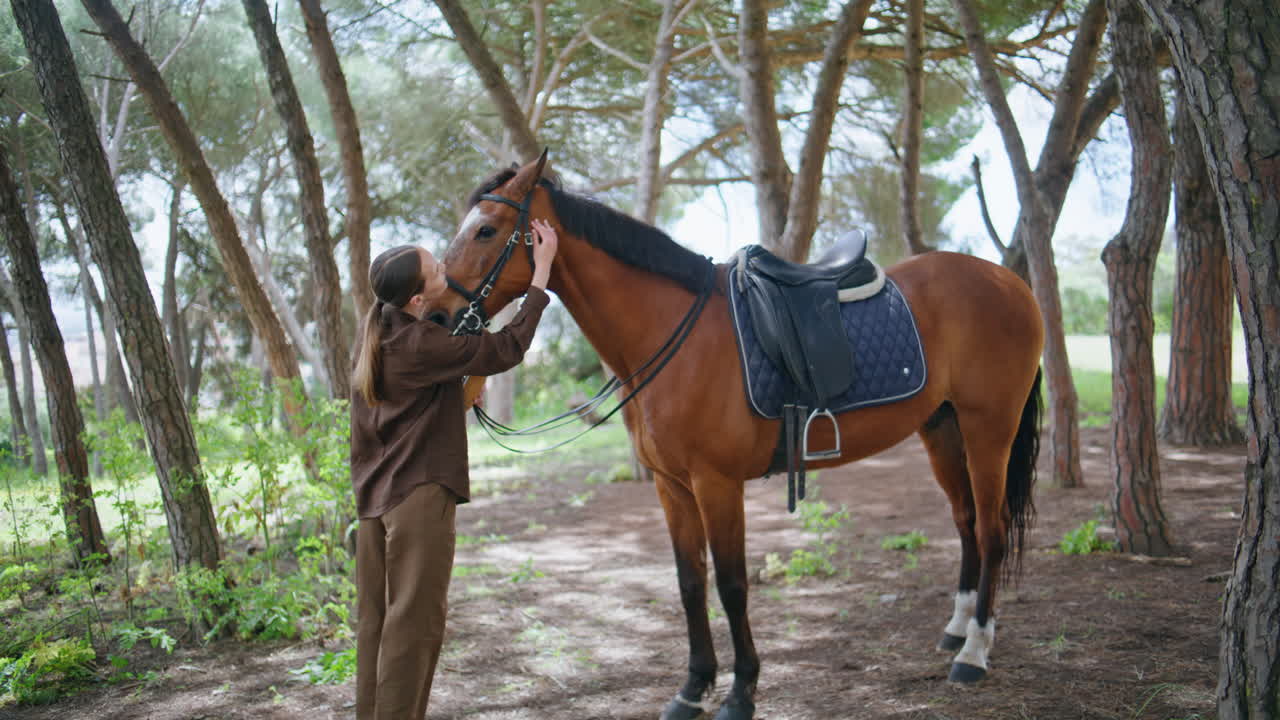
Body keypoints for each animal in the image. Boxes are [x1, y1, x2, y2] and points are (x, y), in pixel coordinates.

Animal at [433, 152, 1045, 720]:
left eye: (486, 229)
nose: (436, 312)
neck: (671, 332)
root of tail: (1009, 281)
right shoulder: (672, 487)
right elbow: (690, 583)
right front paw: (692, 688)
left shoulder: (717, 484)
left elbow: (732, 586)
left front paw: (741, 692)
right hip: (942, 429)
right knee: (966, 522)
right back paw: (956, 629)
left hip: (989, 429)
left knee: (992, 530)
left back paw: (974, 652)